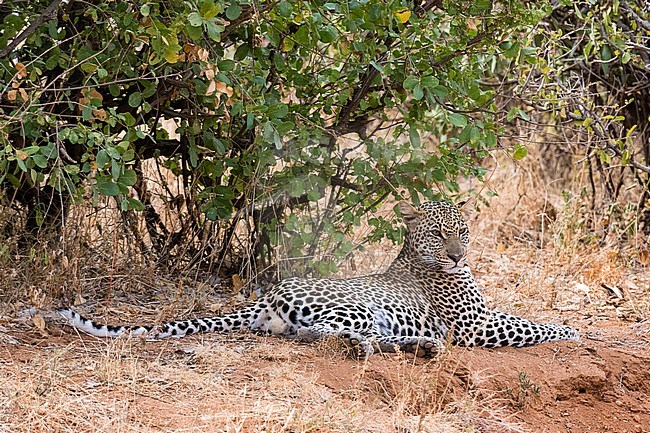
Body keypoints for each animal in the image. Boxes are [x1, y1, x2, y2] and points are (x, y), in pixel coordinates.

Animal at [59, 201, 576, 356]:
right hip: (357, 308)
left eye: (462, 232)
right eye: (437, 234)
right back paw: (402, 348)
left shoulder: (481, 319)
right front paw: (571, 330)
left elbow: (525, 318)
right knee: (330, 335)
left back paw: (420, 345)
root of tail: (271, 292)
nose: (456, 256)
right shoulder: (476, 326)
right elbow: (531, 324)